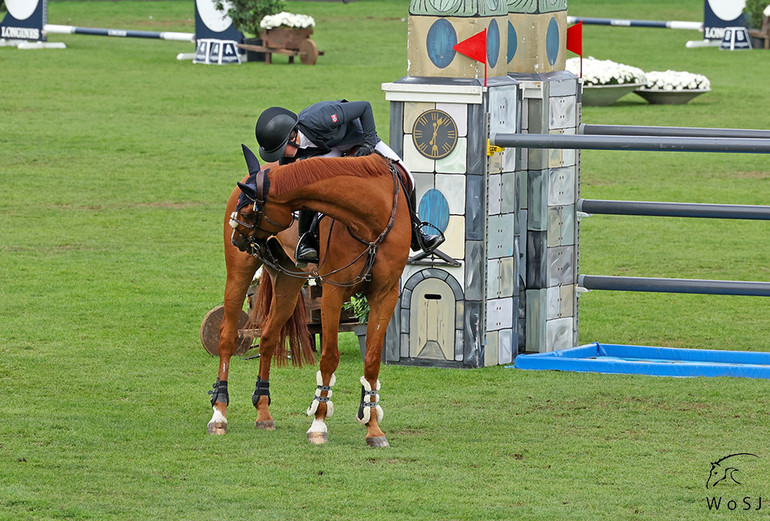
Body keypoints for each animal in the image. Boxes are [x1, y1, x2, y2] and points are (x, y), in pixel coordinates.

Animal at [207, 147, 412, 446]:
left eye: (248, 209)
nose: (237, 237)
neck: (370, 220)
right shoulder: (335, 290)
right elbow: (329, 356)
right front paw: (319, 422)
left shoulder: (386, 294)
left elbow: (372, 361)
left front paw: (373, 427)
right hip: (239, 273)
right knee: (227, 336)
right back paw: (219, 414)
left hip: (289, 282)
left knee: (268, 337)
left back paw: (263, 412)